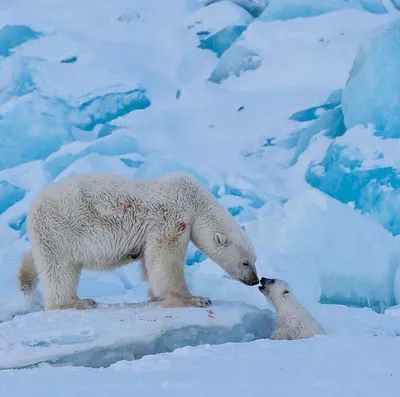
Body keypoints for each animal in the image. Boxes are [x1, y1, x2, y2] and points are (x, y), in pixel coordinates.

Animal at [18, 172, 260, 310]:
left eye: (254, 259)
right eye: (245, 262)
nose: (255, 280)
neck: (194, 200)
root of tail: (32, 206)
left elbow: (149, 262)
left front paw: (155, 297)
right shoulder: (172, 218)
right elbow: (165, 258)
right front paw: (196, 299)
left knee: (40, 259)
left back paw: (25, 278)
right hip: (60, 228)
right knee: (60, 269)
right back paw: (75, 302)